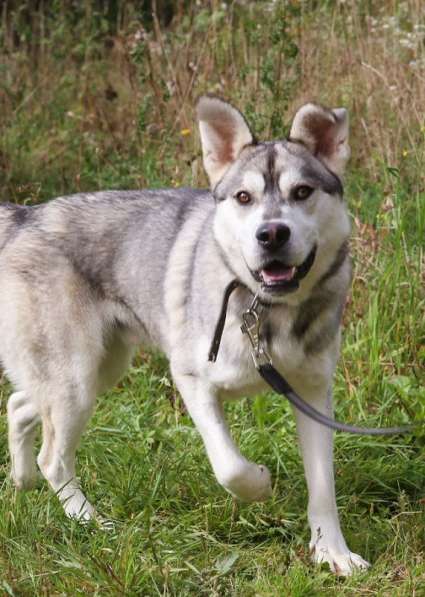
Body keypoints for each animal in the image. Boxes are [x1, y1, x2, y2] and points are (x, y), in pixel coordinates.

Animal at [0, 96, 368, 572]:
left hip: (96, 371)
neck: (267, 312)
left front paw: (332, 553)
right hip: (77, 381)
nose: (271, 233)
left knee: (20, 404)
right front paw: (260, 484)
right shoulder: (192, 380)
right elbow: (230, 466)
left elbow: (323, 486)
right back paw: (90, 521)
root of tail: (26, 216)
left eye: (302, 192)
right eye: (244, 197)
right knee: (54, 458)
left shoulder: (312, 393)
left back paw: (22, 477)